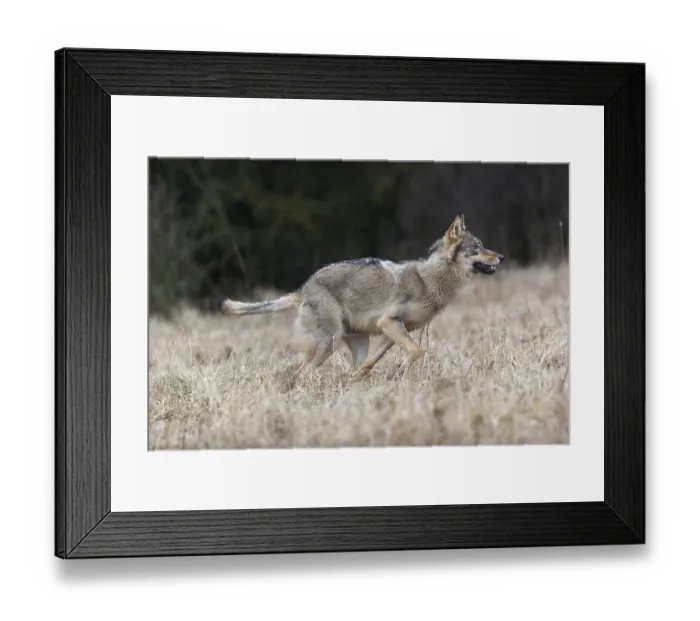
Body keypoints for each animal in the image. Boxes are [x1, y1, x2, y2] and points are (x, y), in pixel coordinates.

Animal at [217, 215, 504, 378]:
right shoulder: (389, 323)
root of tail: (304, 288)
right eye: (478, 248)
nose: (501, 256)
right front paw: (399, 370)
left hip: (355, 340)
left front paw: (373, 374)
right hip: (329, 343)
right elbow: (417, 350)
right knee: (300, 375)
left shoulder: (391, 329)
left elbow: (376, 360)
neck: (430, 279)